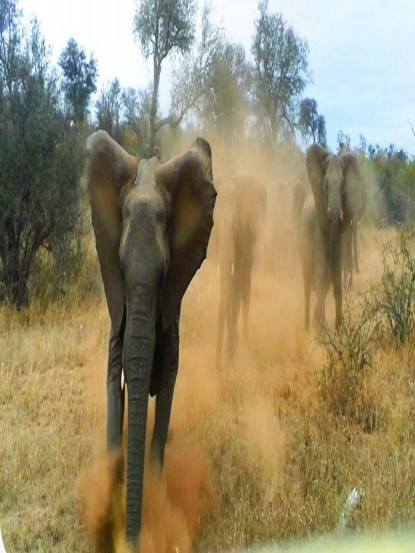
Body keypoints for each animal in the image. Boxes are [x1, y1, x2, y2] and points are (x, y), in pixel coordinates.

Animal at [88, 129, 218, 548]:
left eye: (163, 275)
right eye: (121, 268)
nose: (130, 541)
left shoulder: (171, 309)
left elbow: (169, 384)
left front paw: (156, 493)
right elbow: (113, 375)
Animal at [214, 175, 266, 368]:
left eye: (235, 219)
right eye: (213, 223)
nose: (219, 368)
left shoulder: (243, 229)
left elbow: (235, 282)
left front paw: (231, 351)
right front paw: (231, 349)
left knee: (245, 283)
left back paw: (245, 345)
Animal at [300, 144, 366, 330]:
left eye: (343, 186)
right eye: (325, 186)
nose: (339, 325)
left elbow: (335, 277)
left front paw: (337, 331)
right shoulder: (320, 227)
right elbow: (321, 273)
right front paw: (322, 332)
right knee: (307, 285)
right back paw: (307, 328)